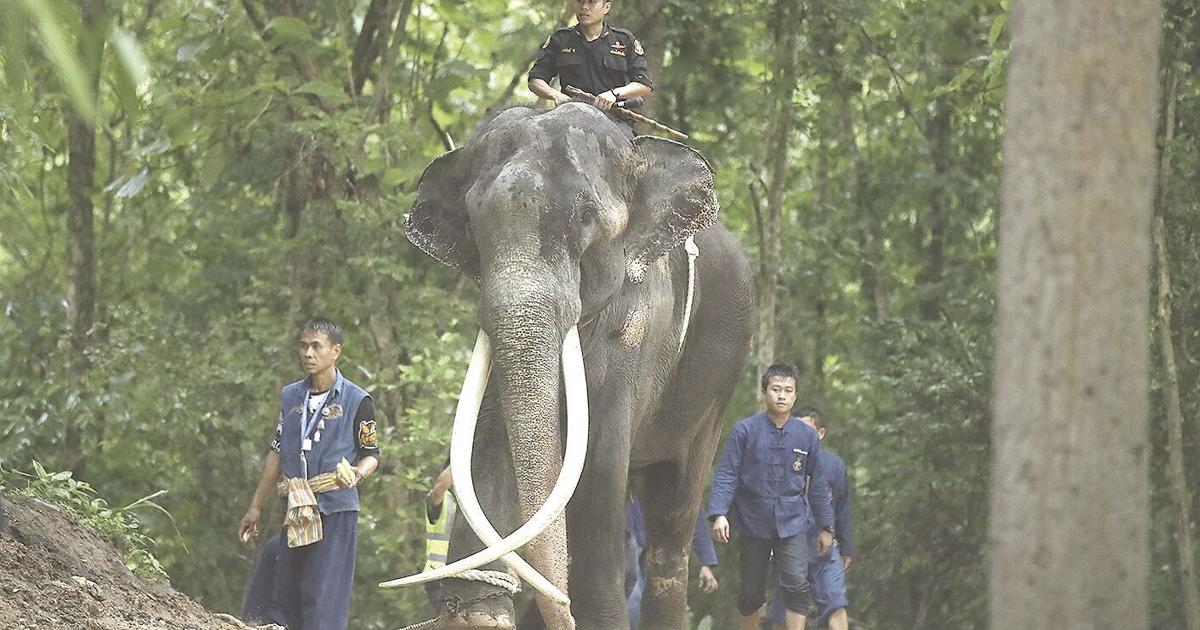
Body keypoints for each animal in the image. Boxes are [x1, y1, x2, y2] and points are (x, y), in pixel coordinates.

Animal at [391, 102, 753, 630]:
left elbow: (599, 462)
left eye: (585, 218)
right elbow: (489, 442)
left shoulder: (639, 326)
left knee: (671, 519)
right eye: (473, 223)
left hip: (718, 385)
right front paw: (478, 612)